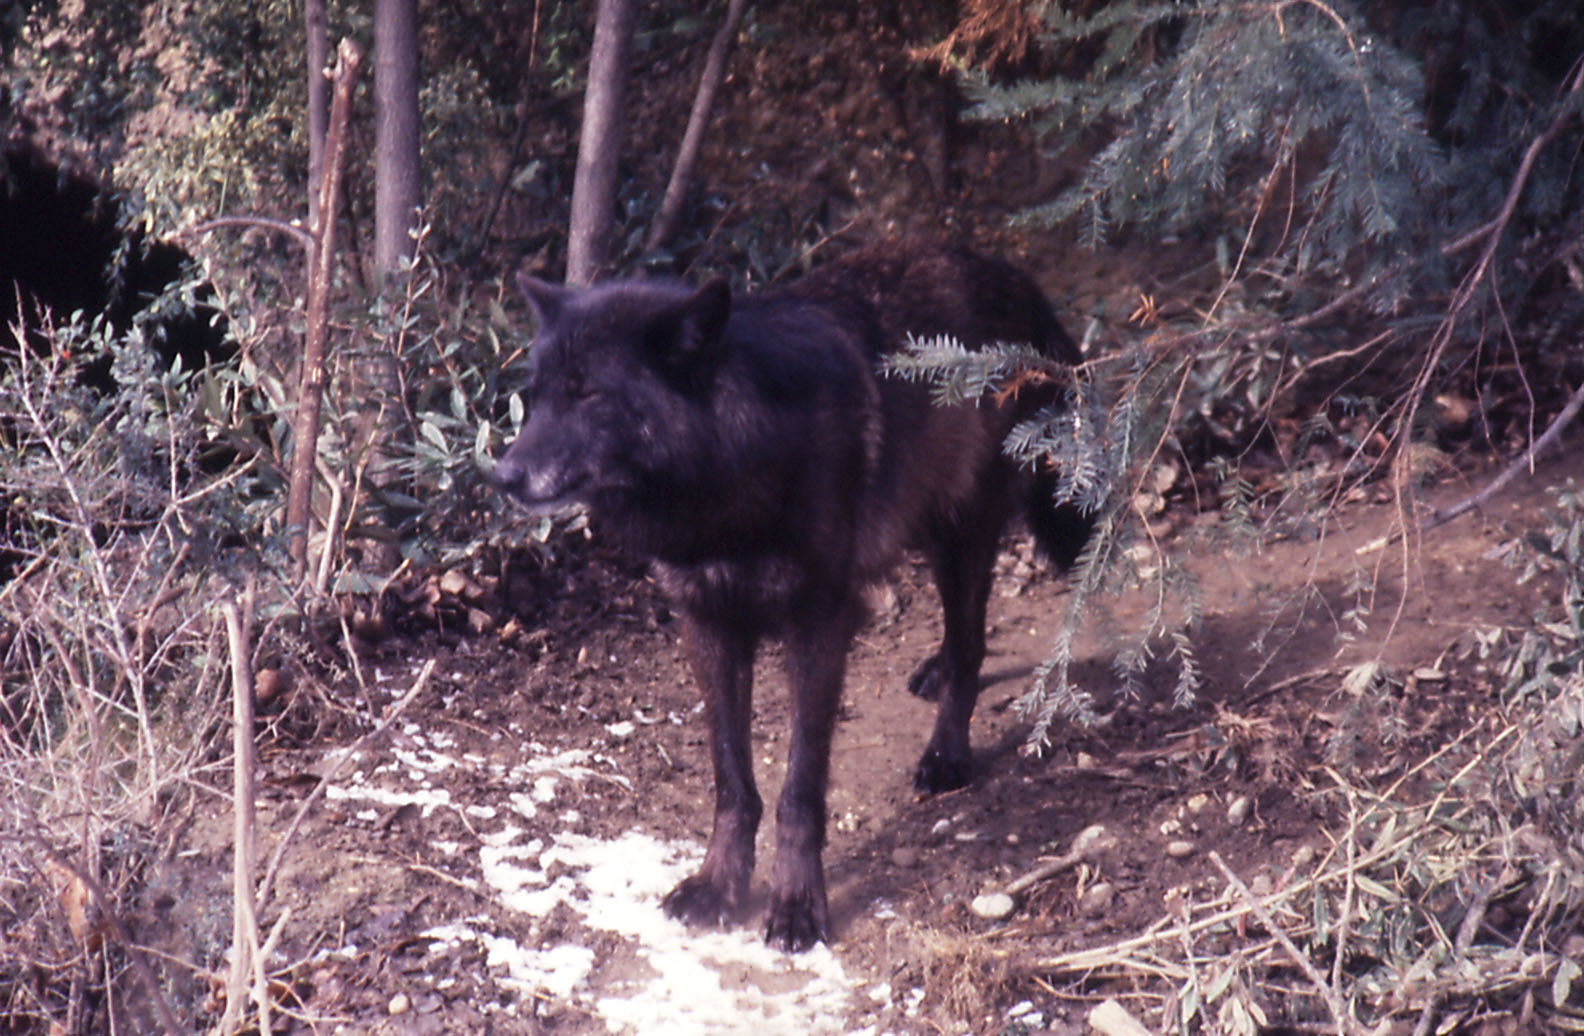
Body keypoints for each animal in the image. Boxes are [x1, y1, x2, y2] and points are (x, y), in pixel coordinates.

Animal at [492, 241, 1091, 951]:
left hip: (962, 534)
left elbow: (798, 790)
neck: (728, 477)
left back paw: (946, 754)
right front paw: (719, 885)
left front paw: (797, 903)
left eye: (587, 395)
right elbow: (732, 782)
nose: (501, 476)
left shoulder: (819, 623)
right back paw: (935, 671)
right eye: (533, 398)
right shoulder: (706, 623)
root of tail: (1016, 279)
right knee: (960, 636)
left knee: (971, 641)